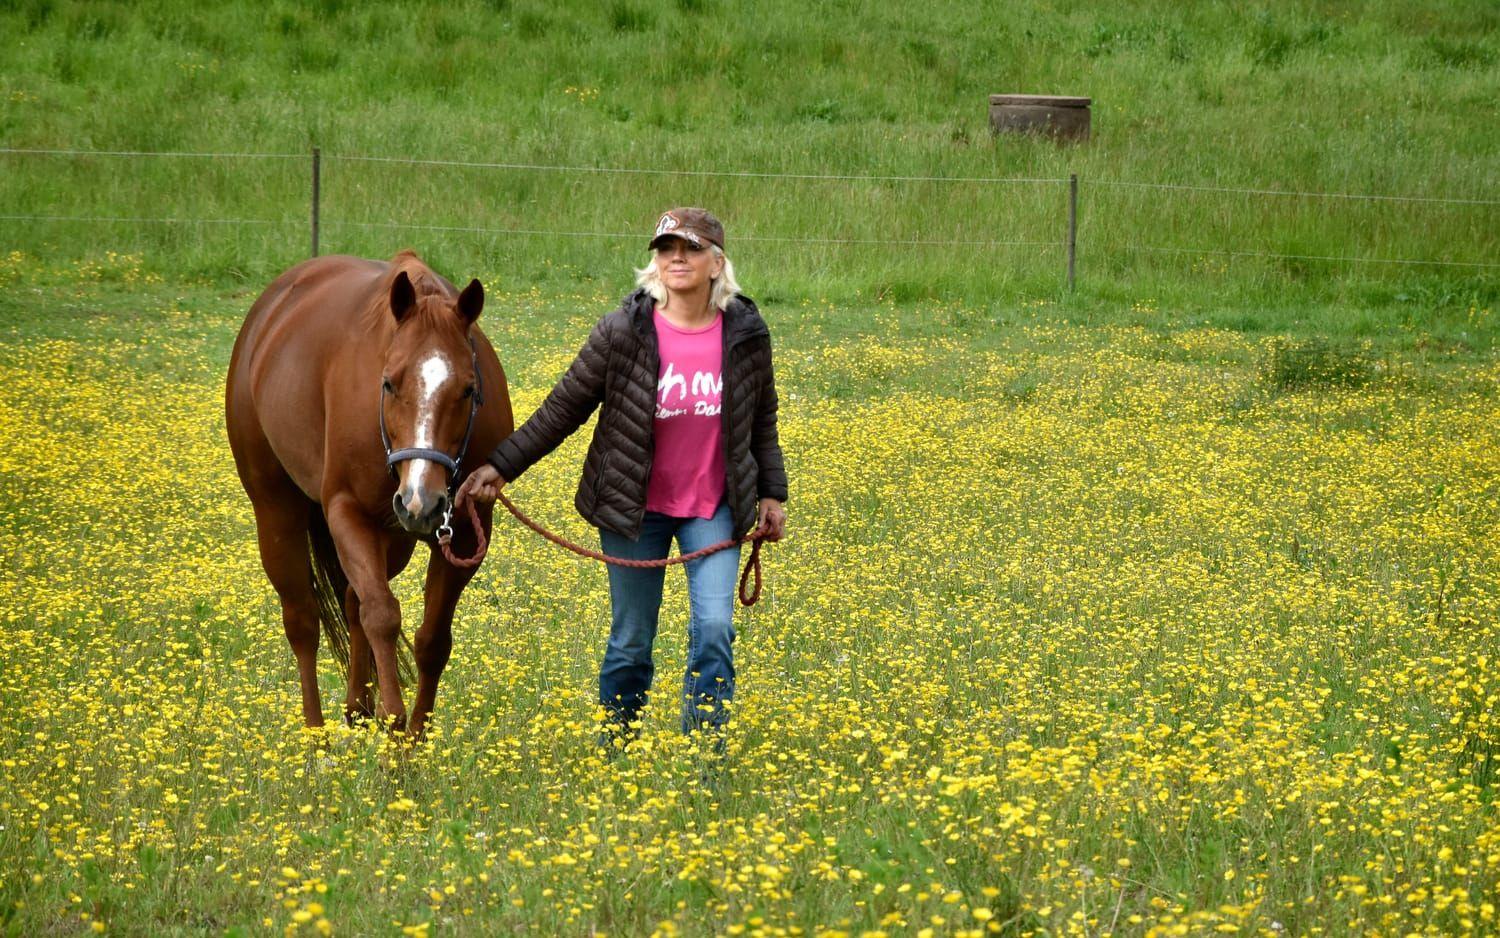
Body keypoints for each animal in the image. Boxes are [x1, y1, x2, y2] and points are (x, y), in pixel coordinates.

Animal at [226, 252, 516, 735]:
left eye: (468, 388)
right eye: (389, 383)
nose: (421, 500)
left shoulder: (463, 535)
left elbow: (431, 639)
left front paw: (414, 739)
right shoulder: (348, 513)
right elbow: (381, 615)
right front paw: (394, 725)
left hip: (392, 539)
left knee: (350, 601)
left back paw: (358, 708)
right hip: (277, 512)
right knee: (303, 621)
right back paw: (317, 736)